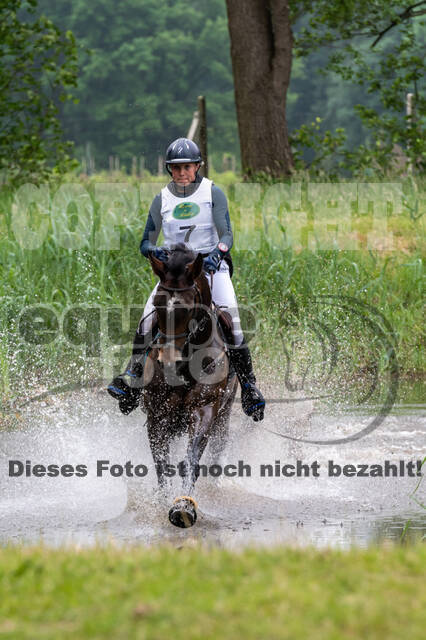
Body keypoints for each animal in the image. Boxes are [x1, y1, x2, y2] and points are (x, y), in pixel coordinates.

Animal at [141, 244, 238, 527]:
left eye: (188, 307)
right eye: (157, 304)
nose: (168, 360)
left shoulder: (204, 409)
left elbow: (193, 457)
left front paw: (183, 506)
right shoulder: (157, 415)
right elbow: (161, 462)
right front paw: (162, 501)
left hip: (224, 416)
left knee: (217, 450)